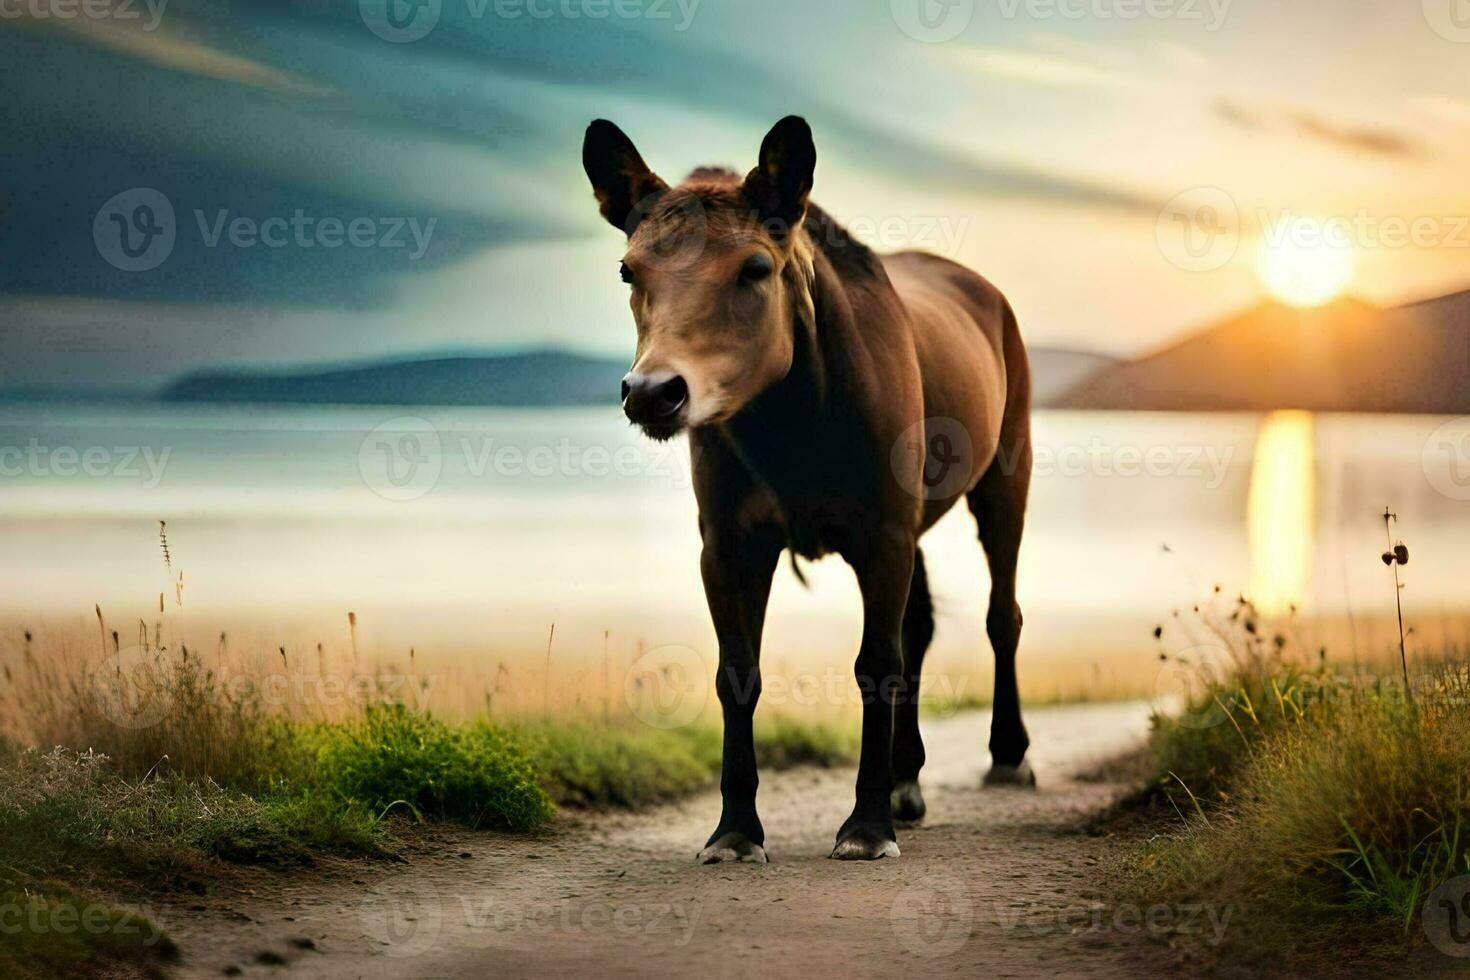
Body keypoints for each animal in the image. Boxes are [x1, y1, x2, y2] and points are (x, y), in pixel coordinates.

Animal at [579, 116, 1029, 863]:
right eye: (627, 270)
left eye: (755, 267)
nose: (653, 392)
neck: (793, 420)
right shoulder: (730, 543)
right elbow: (739, 672)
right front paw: (735, 829)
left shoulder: (882, 533)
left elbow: (876, 663)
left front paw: (866, 825)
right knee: (922, 624)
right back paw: (908, 780)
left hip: (1004, 479)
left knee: (1001, 615)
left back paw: (1009, 753)